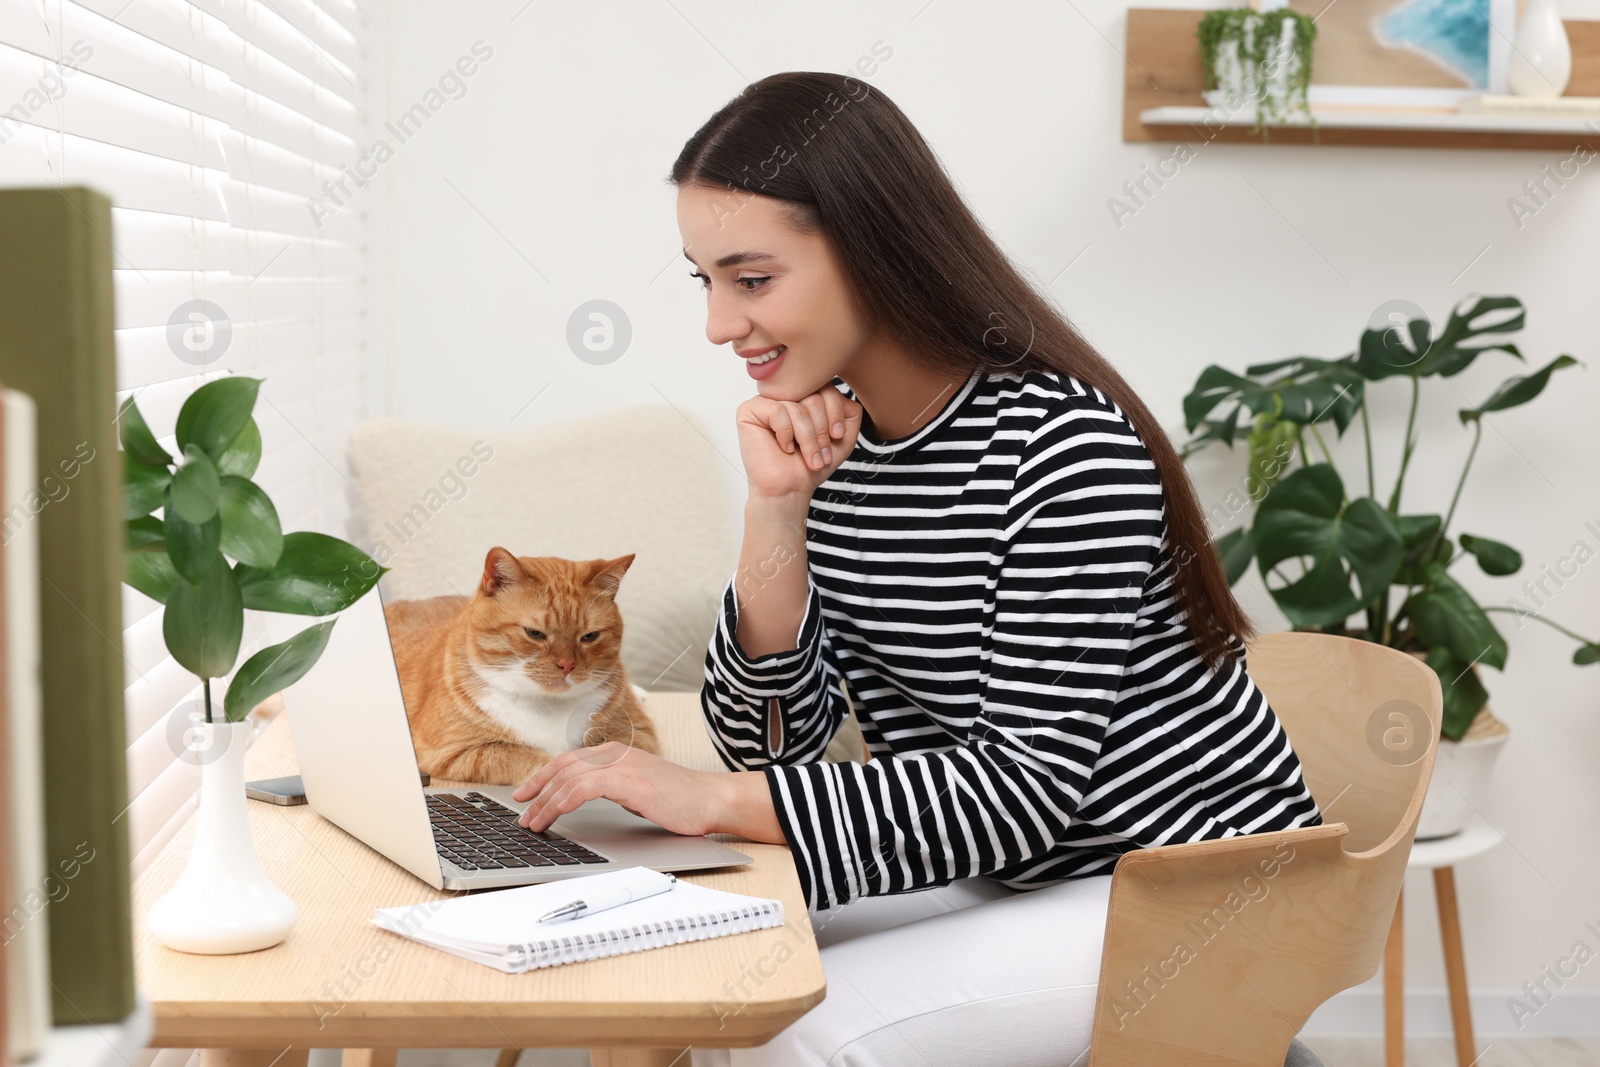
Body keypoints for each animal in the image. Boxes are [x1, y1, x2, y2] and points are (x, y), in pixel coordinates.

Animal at [384, 550, 659, 783]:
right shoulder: (449, 752)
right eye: (535, 633)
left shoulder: (638, 734)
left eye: (590, 637)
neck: (548, 704)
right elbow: (520, 756)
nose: (567, 665)